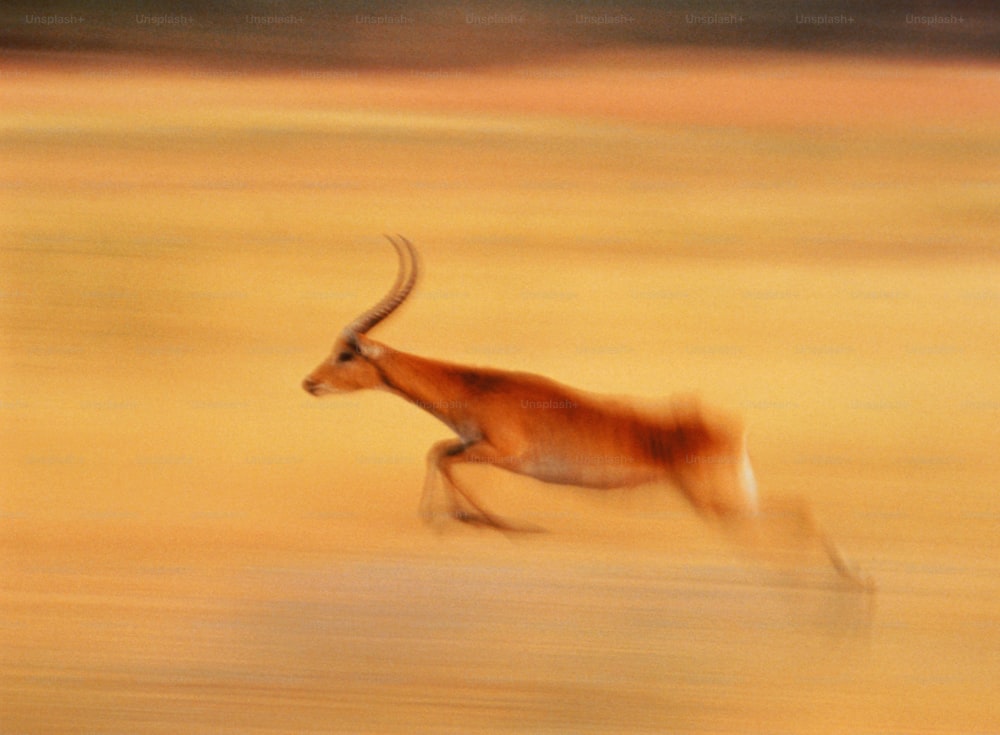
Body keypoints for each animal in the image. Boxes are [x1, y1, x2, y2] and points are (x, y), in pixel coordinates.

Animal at [300, 237, 872, 592]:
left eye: (347, 353)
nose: (310, 383)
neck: (476, 388)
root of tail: (727, 428)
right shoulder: (473, 444)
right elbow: (437, 451)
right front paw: (449, 521)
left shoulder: (504, 452)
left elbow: (443, 457)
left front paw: (497, 526)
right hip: (727, 496)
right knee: (796, 506)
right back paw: (848, 586)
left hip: (714, 501)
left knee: (788, 516)